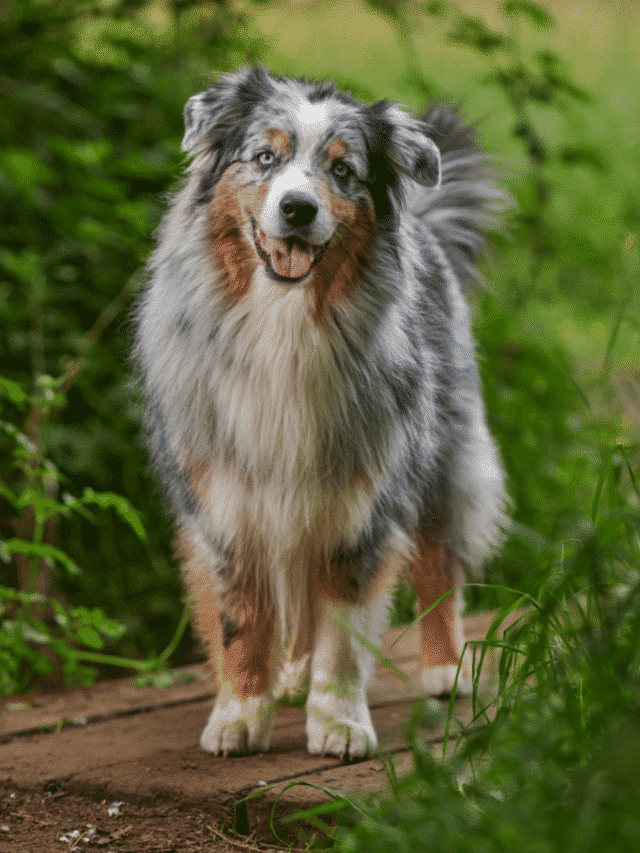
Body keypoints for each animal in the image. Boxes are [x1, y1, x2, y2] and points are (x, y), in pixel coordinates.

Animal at [134, 68, 504, 760]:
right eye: (264, 158)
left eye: (343, 171)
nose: (297, 209)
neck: (283, 324)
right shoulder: (227, 501)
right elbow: (242, 619)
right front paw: (240, 714)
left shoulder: (360, 499)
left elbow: (344, 629)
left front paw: (338, 725)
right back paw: (288, 676)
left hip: (444, 451)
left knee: (439, 558)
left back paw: (445, 669)